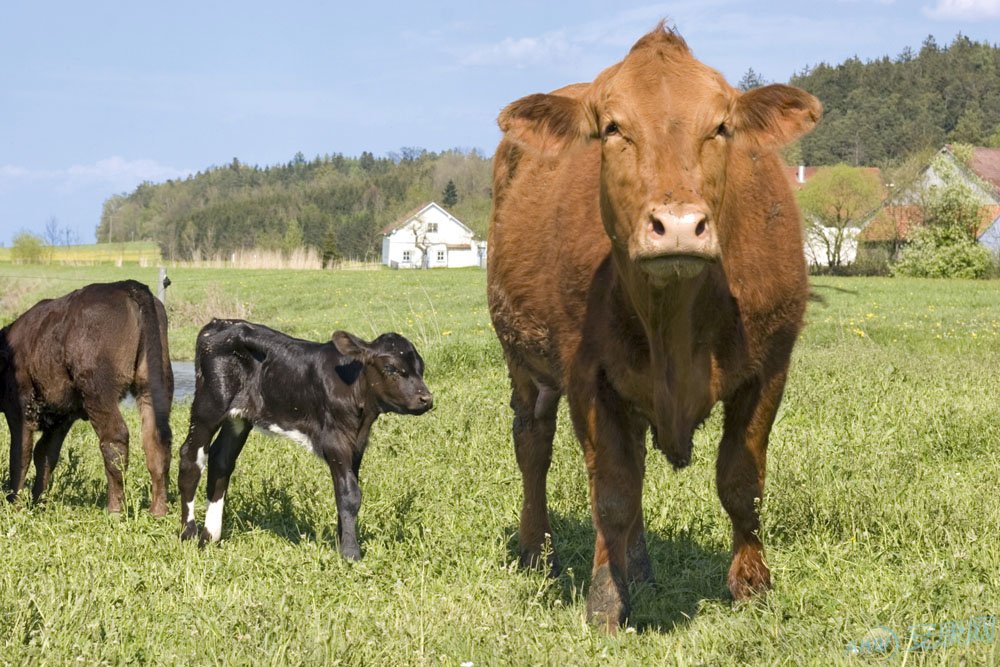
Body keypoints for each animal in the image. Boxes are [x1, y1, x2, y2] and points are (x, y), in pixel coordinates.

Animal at [0, 282, 173, 516]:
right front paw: (36, 503)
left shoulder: (20, 409)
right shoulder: (61, 417)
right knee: (156, 439)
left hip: (97, 391)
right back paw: (157, 511)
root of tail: (127, 285)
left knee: (115, 438)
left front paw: (14, 505)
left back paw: (115, 511)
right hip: (153, 385)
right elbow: (45, 454)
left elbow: (20, 454)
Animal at [486, 24, 820, 632]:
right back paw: (537, 551)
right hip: (523, 362)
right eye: (613, 128)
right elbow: (612, 494)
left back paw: (638, 568)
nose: (680, 225)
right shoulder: (588, 378)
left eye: (721, 127)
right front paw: (605, 600)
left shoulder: (770, 367)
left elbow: (742, 483)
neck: (677, 321)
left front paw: (752, 585)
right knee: (534, 446)